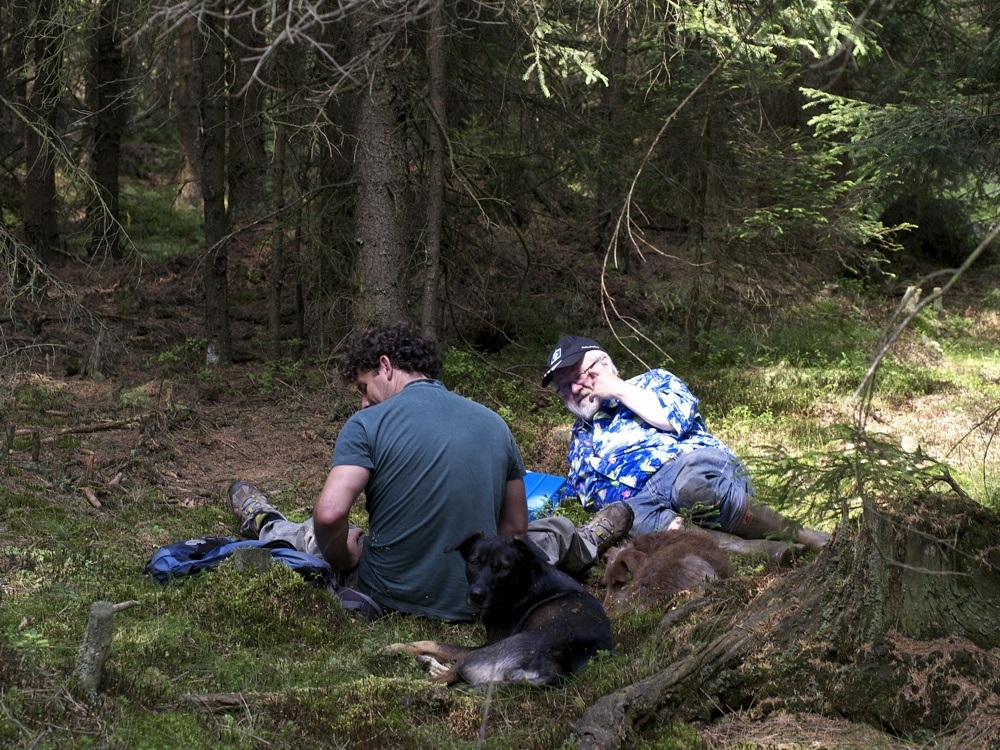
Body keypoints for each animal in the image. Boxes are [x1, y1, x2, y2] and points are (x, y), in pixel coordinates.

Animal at [386, 531, 614, 686]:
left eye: (503, 568)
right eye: (474, 563)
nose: (476, 595)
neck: (522, 586)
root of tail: (552, 667)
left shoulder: (484, 646)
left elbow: (435, 644)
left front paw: (395, 647)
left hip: (479, 657)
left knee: (443, 677)